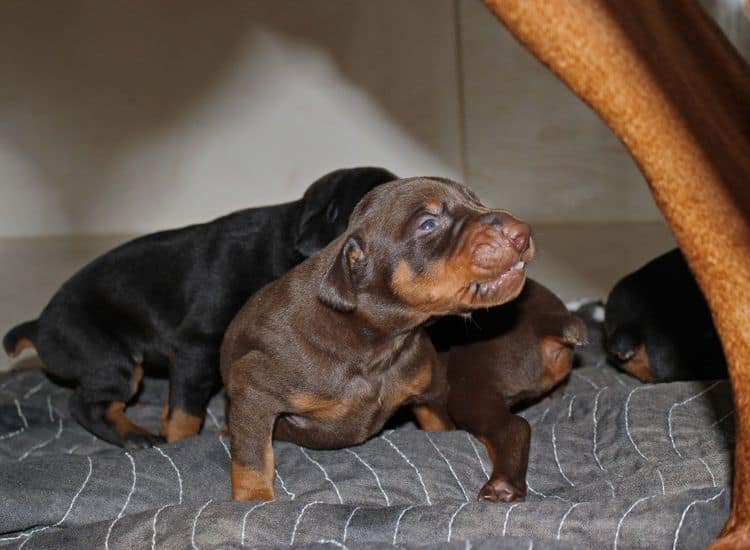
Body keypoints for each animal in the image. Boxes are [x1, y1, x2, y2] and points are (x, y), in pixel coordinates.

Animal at [1, 167, 400, 448]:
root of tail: (38, 326)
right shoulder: (198, 346)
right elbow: (185, 412)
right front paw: (182, 445)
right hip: (110, 356)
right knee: (87, 404)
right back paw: (136, 437)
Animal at [220, 178, 536, 504]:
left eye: (477, 202)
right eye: (428, 224)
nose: (521, 233)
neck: (377, 341)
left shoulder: (428, 386)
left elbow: (438, 424)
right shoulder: (254, 388)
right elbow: (253, 456)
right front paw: (255, 498)